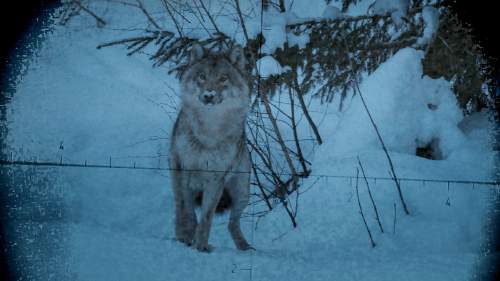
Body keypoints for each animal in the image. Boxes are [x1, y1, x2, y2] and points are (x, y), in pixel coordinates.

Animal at [170, 43, 254, 252]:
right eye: (202, 76)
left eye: (223, 78)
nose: (209, 95)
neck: (208, 131)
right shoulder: (184, 170)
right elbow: (186, 210)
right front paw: (185, 236)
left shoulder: (216, 177)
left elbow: (206, 217)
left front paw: (201, 246)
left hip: (243, 193)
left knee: (233, 223)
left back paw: (244, 247)